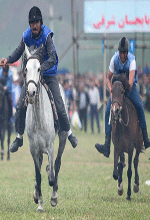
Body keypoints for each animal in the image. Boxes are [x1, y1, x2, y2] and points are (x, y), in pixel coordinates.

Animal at [24, 45, 67, 212]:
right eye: (26, 69)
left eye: (39, 69)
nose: (31, 92)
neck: (39, 120)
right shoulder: (33, 149)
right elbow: (38, 175)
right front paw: (40, 202)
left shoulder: (49, 147)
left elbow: (51, 176)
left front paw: (52, 198)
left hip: (62, 138)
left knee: (58, 163)